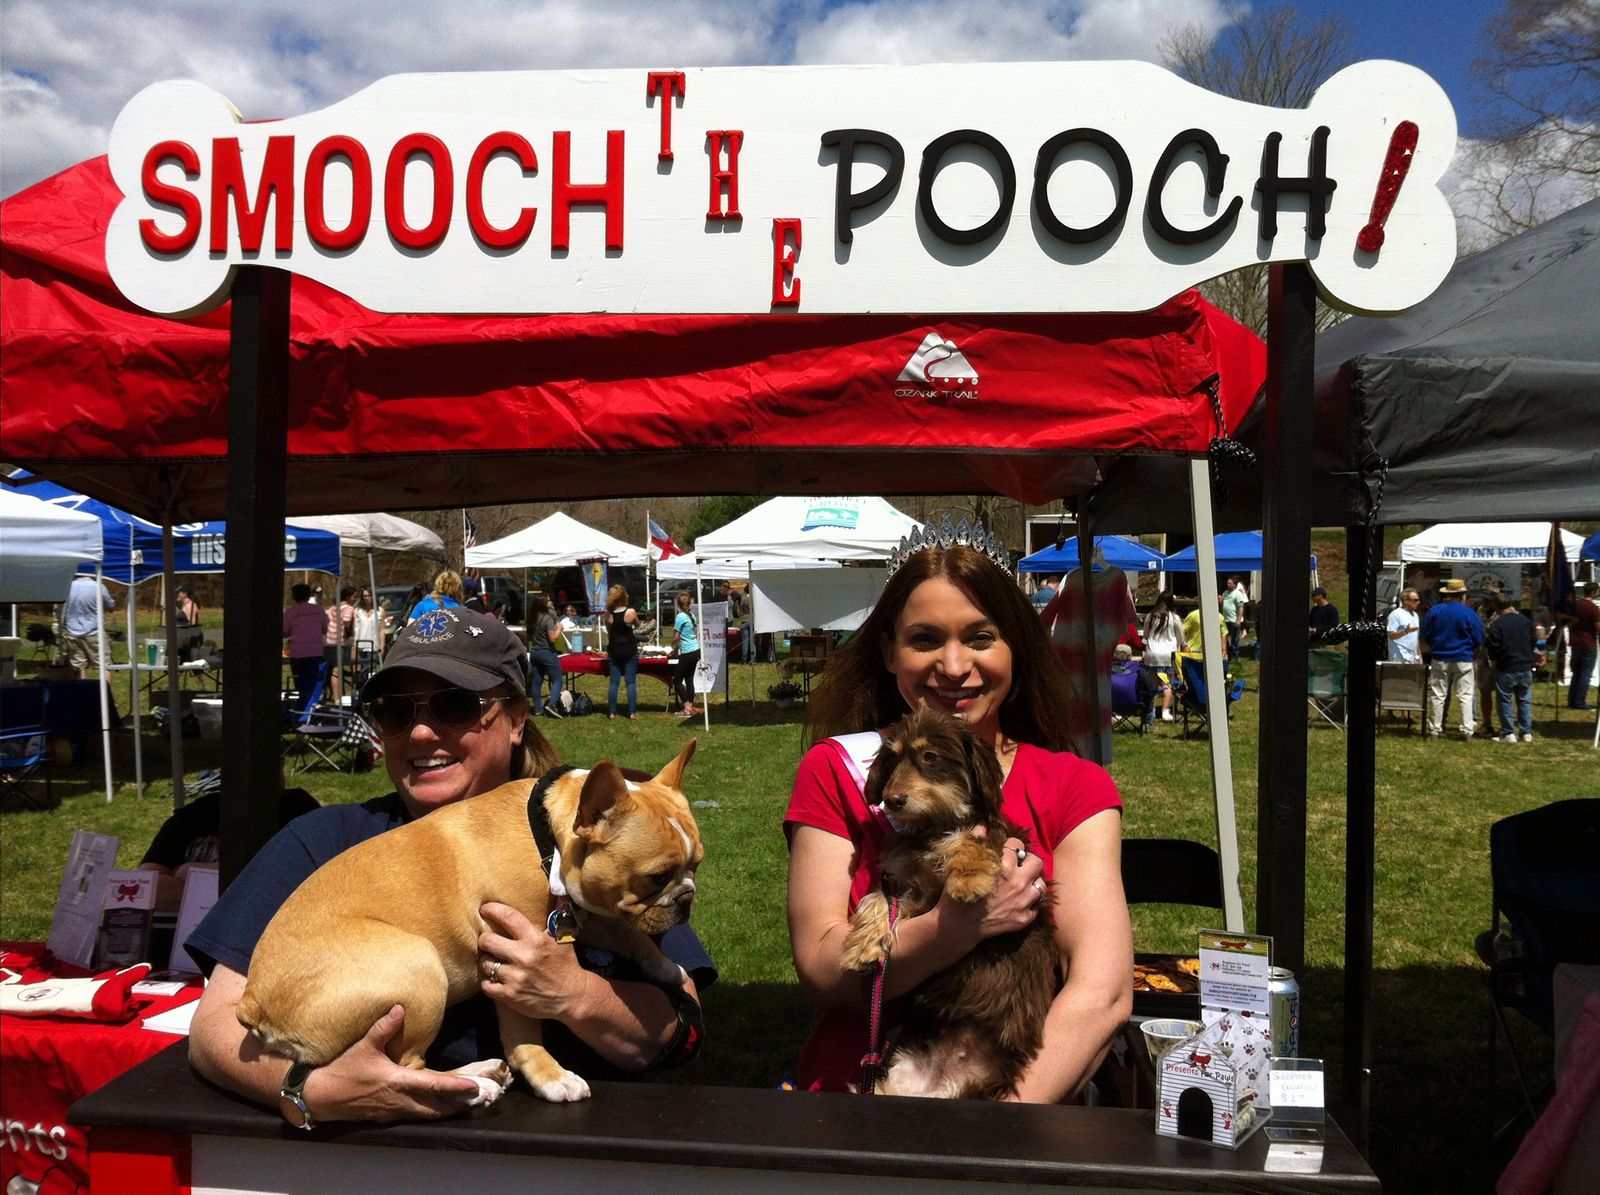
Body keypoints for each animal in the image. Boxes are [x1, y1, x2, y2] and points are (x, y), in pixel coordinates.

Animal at [237, 740, 702, 1105]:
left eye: (696, 865)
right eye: (657, 876)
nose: (687, 897)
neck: (548, 837)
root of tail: (253, 1001)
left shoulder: (581, 911)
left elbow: (628, 933)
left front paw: (665, 967)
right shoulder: (514, 951)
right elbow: (525, 1032)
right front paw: (551, 1078)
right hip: (419, 966)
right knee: (407, 1065)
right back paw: (474, 1086)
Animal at [839, 708, 1059, 1099]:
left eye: (931, 756)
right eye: (893, 758)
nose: (893, 800)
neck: (933, 827)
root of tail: (945, 1078)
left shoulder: (1000, 840)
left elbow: (969, 840)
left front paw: (969, 877)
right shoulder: (904, 886)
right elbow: (876, 900)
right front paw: (861, 947)